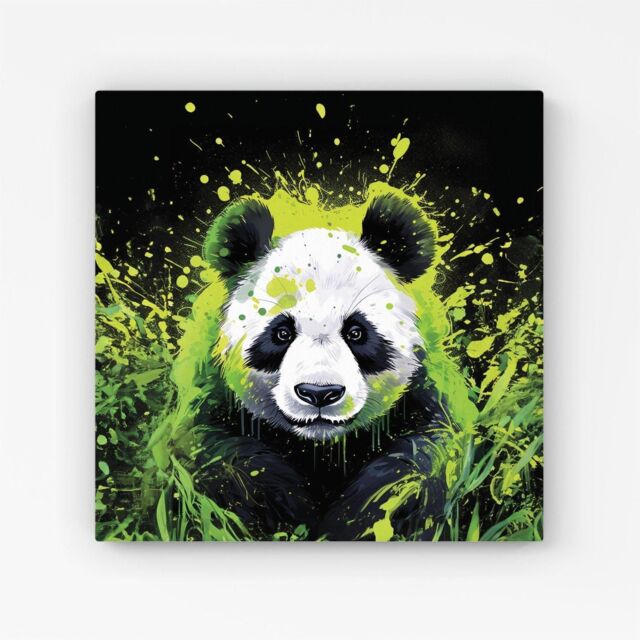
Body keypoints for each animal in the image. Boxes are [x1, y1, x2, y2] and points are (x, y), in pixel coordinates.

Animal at [176, 190, 454, 541]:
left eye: (356, 332)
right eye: (281, 333)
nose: (319, 393)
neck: (321, 448)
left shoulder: (420, 396)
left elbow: (417, 463)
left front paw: (356, 520)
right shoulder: (213, 397)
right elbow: (219, 457)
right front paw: (281, 510)